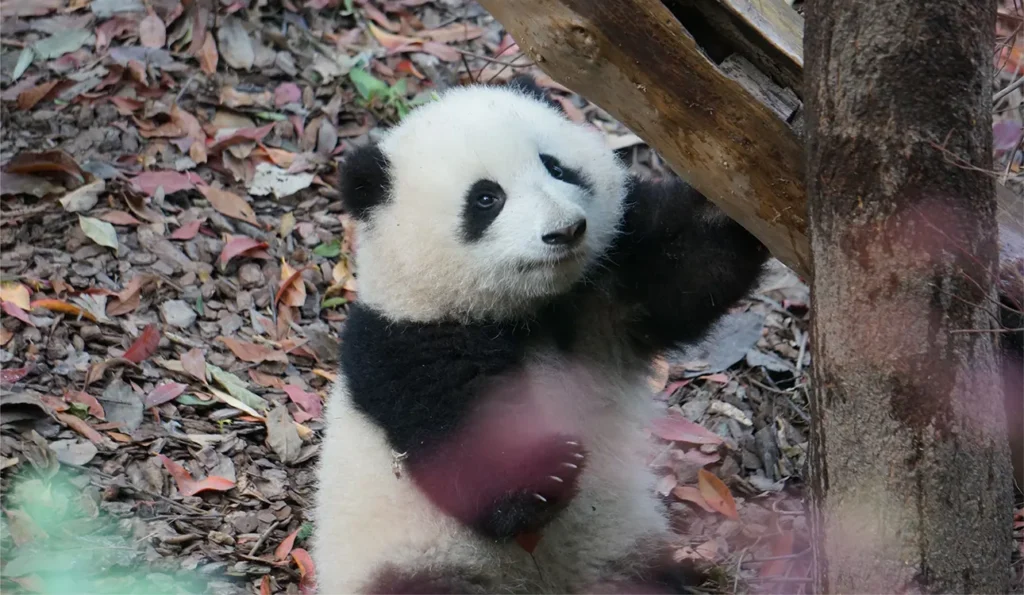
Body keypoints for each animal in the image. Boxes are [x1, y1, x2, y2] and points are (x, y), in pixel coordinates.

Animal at [312, 74, 770, 594]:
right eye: (486, 198)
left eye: (555, 167)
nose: (564, 231)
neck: (528, 311)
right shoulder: (404, 340)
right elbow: (464, 431)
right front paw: (547, 477)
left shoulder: (605, 290)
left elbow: (684, 271)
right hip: (415, 560)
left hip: (619, 551)